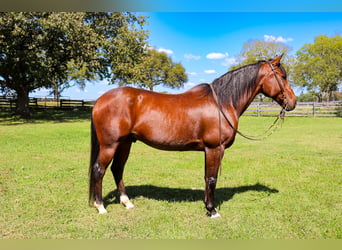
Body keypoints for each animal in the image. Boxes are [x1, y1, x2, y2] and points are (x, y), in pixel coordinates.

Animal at [89, 54, 296, 217]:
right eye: (283, 76)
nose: (293, 102)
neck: (222, 103)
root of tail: (100, 100)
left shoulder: (209, 150)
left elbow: (206, 177)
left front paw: (207, 205)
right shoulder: (215, 149)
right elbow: (212, 178)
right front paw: (212, 210)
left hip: (125, 143)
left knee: (117, 169)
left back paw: (127, 203)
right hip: (110, 145)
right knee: (99, 170)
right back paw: (100, 207)